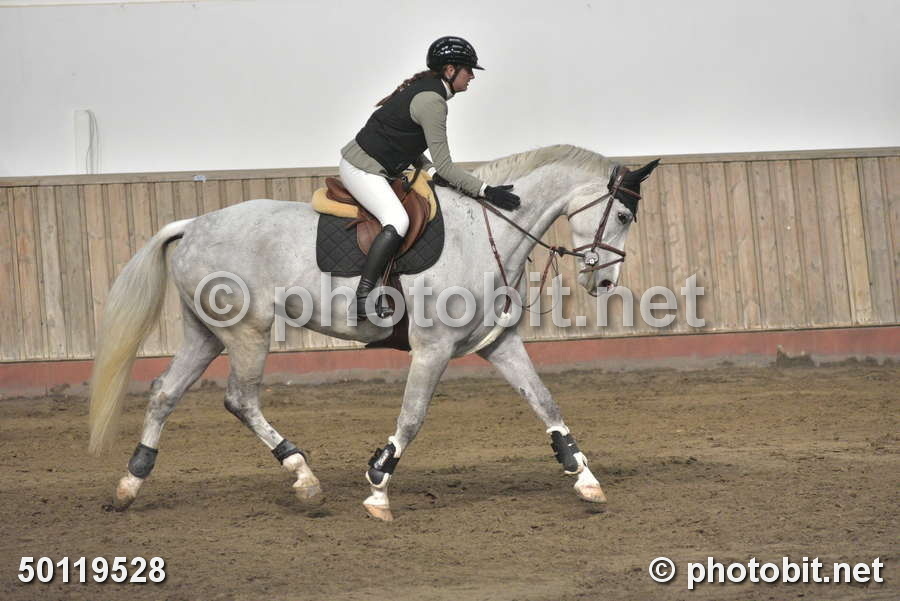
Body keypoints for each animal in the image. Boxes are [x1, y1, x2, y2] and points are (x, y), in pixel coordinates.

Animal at [88, 144, 659, 521]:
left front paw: (584, 477)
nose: (603, 282)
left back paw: (130, 482)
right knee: (239, 399)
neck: (489, 230)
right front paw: (379, 487)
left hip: (206, 334)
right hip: (248, 330)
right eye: (622, 214)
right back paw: (303, 478)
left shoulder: (498, 344)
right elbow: (411, 418)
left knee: (165, 392)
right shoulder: (433, 349)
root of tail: (194, 225)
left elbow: (546, 403)